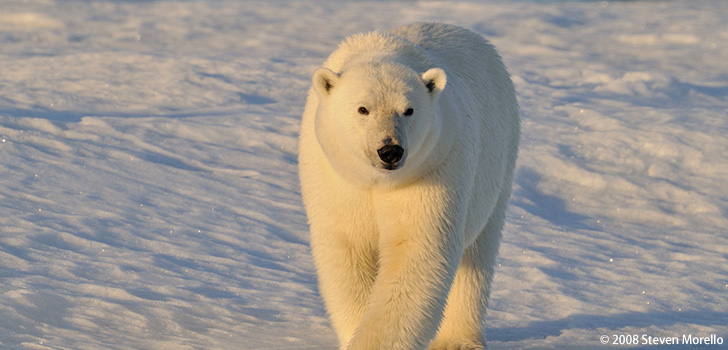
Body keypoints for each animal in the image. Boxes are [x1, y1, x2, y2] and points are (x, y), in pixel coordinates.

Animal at [298, 22, 520, 350]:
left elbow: (416, 248)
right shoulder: (337, 179)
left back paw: (460, 340)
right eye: (363, 109)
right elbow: (348, 248)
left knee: (476, 256)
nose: (390, 151)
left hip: (497, 163)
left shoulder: (432, 168)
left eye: (409, 110)